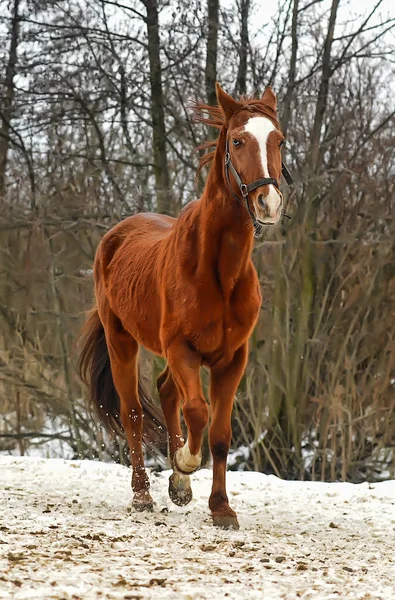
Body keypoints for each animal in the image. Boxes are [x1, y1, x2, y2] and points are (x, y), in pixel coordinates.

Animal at [79, 82, 292, 528]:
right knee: (133, 413)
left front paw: (220, 507)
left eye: (279, 140)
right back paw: (143, 493)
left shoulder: (232, 359)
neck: (218, 272)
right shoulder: (182, 349)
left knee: (164, 390)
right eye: (237, 140)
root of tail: (115, 236)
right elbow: (196, 410)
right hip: (121, 343)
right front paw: (182, 464)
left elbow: (222, 434)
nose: (268, 203)